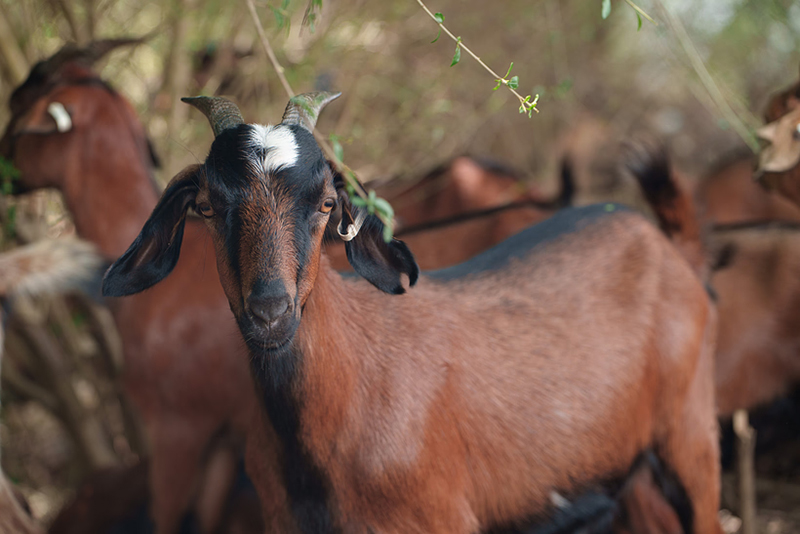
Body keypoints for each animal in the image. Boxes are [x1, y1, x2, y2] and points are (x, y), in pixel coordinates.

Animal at [103, 93, 723, 534]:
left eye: (326, 203)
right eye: (207, 207)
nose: (270, 312)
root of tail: (668, 245)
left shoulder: (441, 518)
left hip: (692, 435)